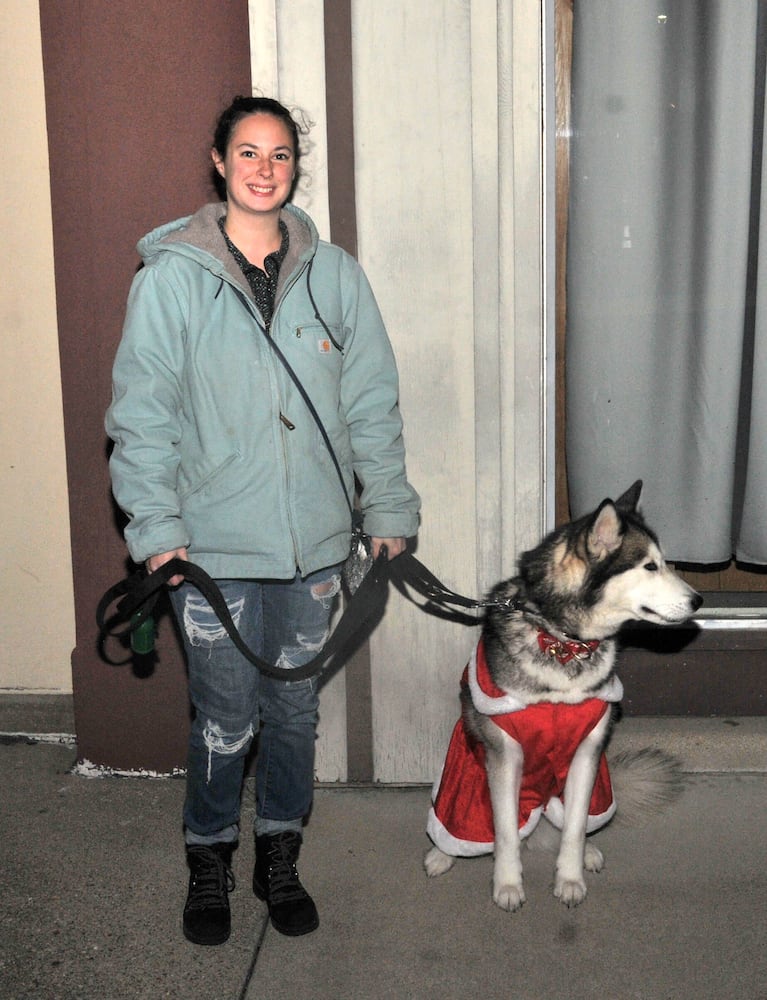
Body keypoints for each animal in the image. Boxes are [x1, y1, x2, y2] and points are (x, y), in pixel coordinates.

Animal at [426, 480, 704, 912]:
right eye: (649, 566)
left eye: (663, 562)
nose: (698, 601)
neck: (563, 643)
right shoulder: (506, 756)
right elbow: (505, 832)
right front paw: (508, 884)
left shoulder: (587, 753)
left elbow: (573, 829)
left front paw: (570, 877)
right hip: (466, 776)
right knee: (458, 824)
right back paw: (442, 854)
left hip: (595, 787)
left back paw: (588, 851)